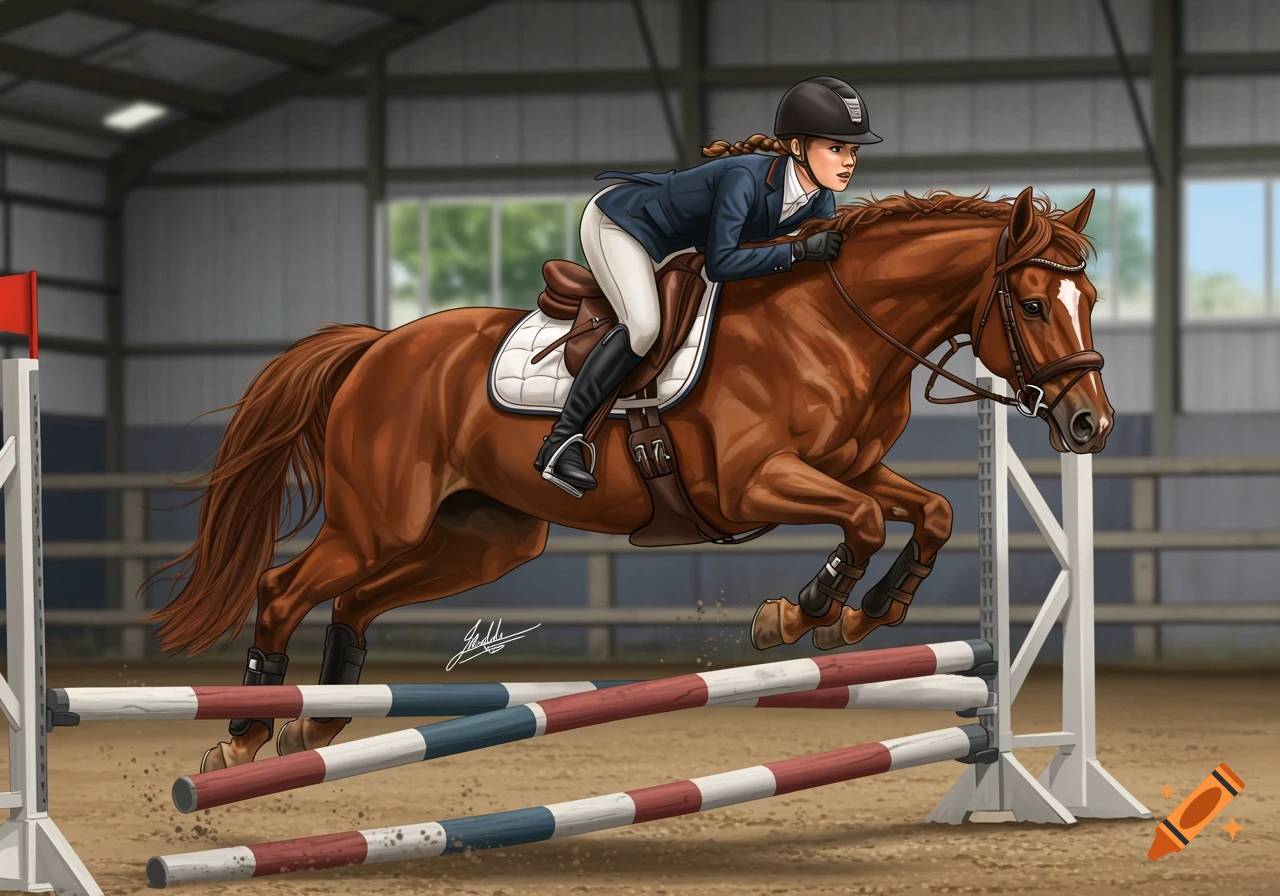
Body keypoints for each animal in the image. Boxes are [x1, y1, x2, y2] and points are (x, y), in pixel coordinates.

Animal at [143, 186, 1110, 772]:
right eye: (1032, 303)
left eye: (1090, 301)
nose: (1088, 425)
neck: (831, 324)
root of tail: (377, 348)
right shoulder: (753, 483)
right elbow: (865, 522)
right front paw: (798, 613)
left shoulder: (854, 466)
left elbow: (932, 511)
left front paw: (871, 613)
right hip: (380, 522)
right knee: (283, 588)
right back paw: (244, 736)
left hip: (482, 538)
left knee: (355, 601)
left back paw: (319, 720)